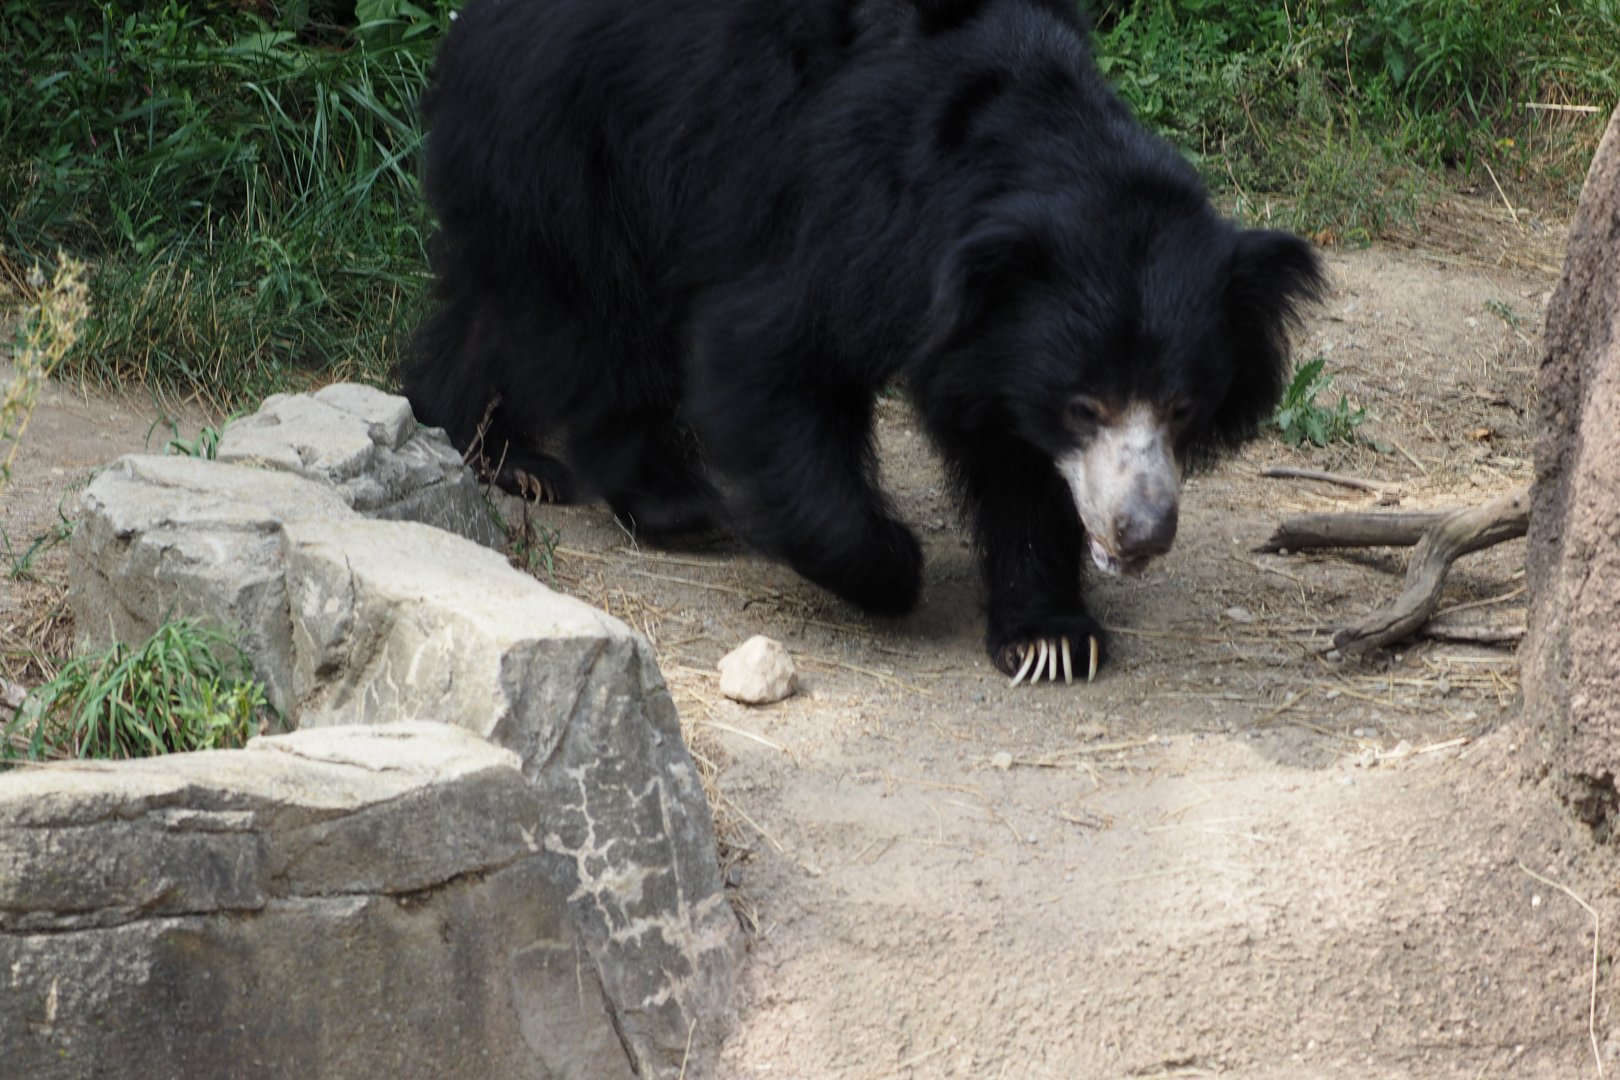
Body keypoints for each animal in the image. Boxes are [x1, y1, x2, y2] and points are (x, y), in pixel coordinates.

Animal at [402, 0, 1325, 685]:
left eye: (1182, 405)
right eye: (1083, 406)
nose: (1143, 532)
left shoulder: (995, 337)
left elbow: (1014, 459)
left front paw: (1051, 638)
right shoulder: (851, 213)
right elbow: (763, 356)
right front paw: (892, 570)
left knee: (495, 300)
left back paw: (497, 448)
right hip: (583, 143)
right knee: (599, 324)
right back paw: (672, 502)